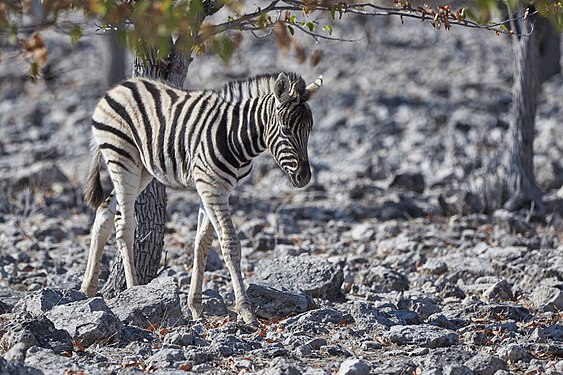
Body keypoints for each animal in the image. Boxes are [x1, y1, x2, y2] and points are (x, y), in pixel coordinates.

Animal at [81, 72, 324, 324]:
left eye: (309, 130)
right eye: (286, 130)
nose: (305, 177)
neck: (235, 135)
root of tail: (118, 87)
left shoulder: (214, 188)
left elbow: (202, 243)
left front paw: (196, 307)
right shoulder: (211, 187)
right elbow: (230, 243)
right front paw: (245, 310)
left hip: (143, 170)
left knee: (104, 212)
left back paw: (88, 289)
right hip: (122, 159)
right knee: (124, 224)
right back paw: (133, 291)